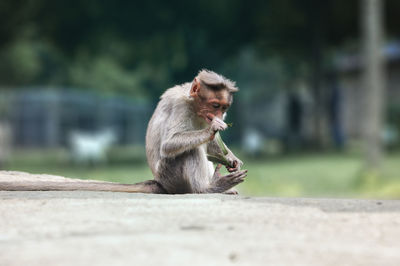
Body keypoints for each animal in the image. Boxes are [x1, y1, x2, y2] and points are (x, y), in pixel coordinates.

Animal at [0, 70, 247, 195]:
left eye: (224, 107)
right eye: (215, 105)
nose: (220, 115)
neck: (194, 106)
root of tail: (160, 182)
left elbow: (214, 145)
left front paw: (231, 158)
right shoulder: (181, 106)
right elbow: (170, 144)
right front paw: (213, 129)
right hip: (172, 177)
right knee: (188, 151)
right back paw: (207, 189)